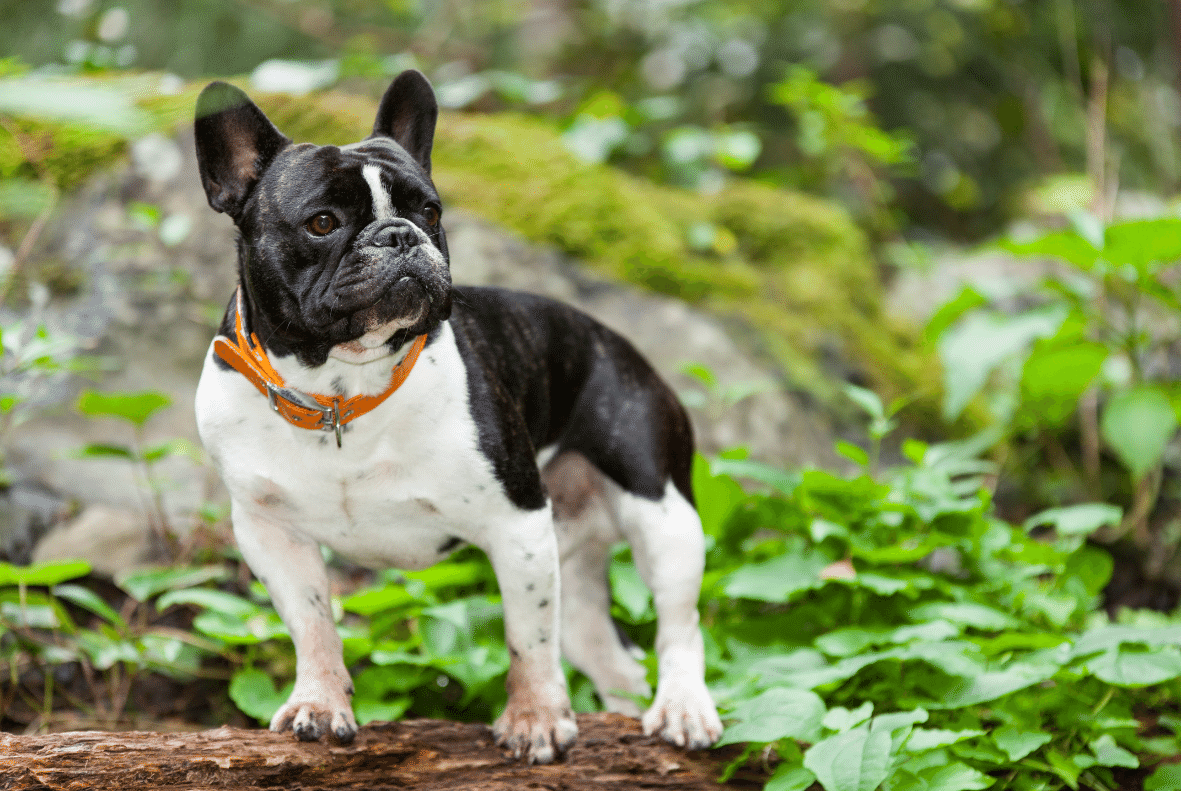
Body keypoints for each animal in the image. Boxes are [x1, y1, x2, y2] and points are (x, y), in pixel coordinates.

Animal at [190, 71, 722, 765]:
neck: (340, 391)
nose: (399, 235)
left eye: (431, 213)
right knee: (610, 656)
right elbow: (312, 624)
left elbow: (527, 640)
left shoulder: (517, 526)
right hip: (574, 562)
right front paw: (320, 704)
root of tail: (624, 345)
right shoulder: (269, 533)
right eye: (322, 222)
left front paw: (535, 720)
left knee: (678, 625)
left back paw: (683, 709)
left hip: (662, 513)